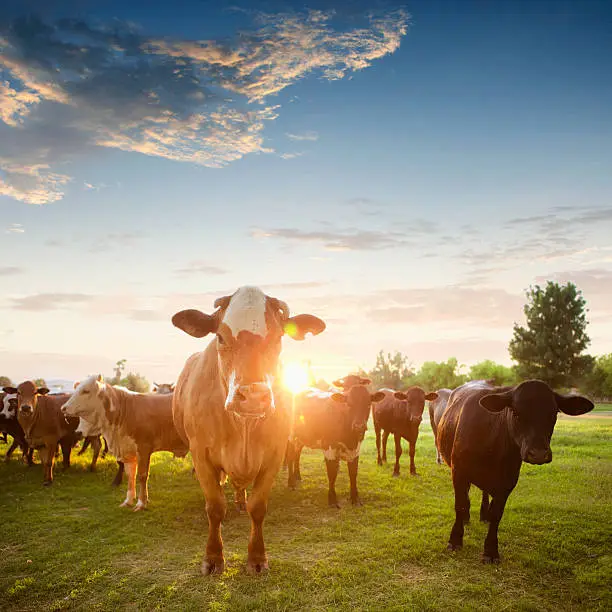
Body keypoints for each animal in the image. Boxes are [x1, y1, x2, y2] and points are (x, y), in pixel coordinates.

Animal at [61, 376, 188, 510]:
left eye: (86, 391)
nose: (63, 408)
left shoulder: (144, 448)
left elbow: (142, 475)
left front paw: (141, 503)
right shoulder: (128, 450)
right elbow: (130, 475)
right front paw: (128, 500)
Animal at [172, 284, 326, 576]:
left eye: (278, 338)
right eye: (220, 337)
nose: (253, 397)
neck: (243, 428)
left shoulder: (275, 454)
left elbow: (258, 508)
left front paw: (256, 557)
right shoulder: (200, 454)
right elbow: (215, 507)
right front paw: (213, 557)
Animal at [438, 380, 596, 560]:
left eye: (554, 413)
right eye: (515, 412)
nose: (538, 454)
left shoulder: (508, 480)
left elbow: (497, 514)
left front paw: (491, 550)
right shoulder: (458, 471)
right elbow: (461, 505)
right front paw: (455, 540)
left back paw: (484, 515)